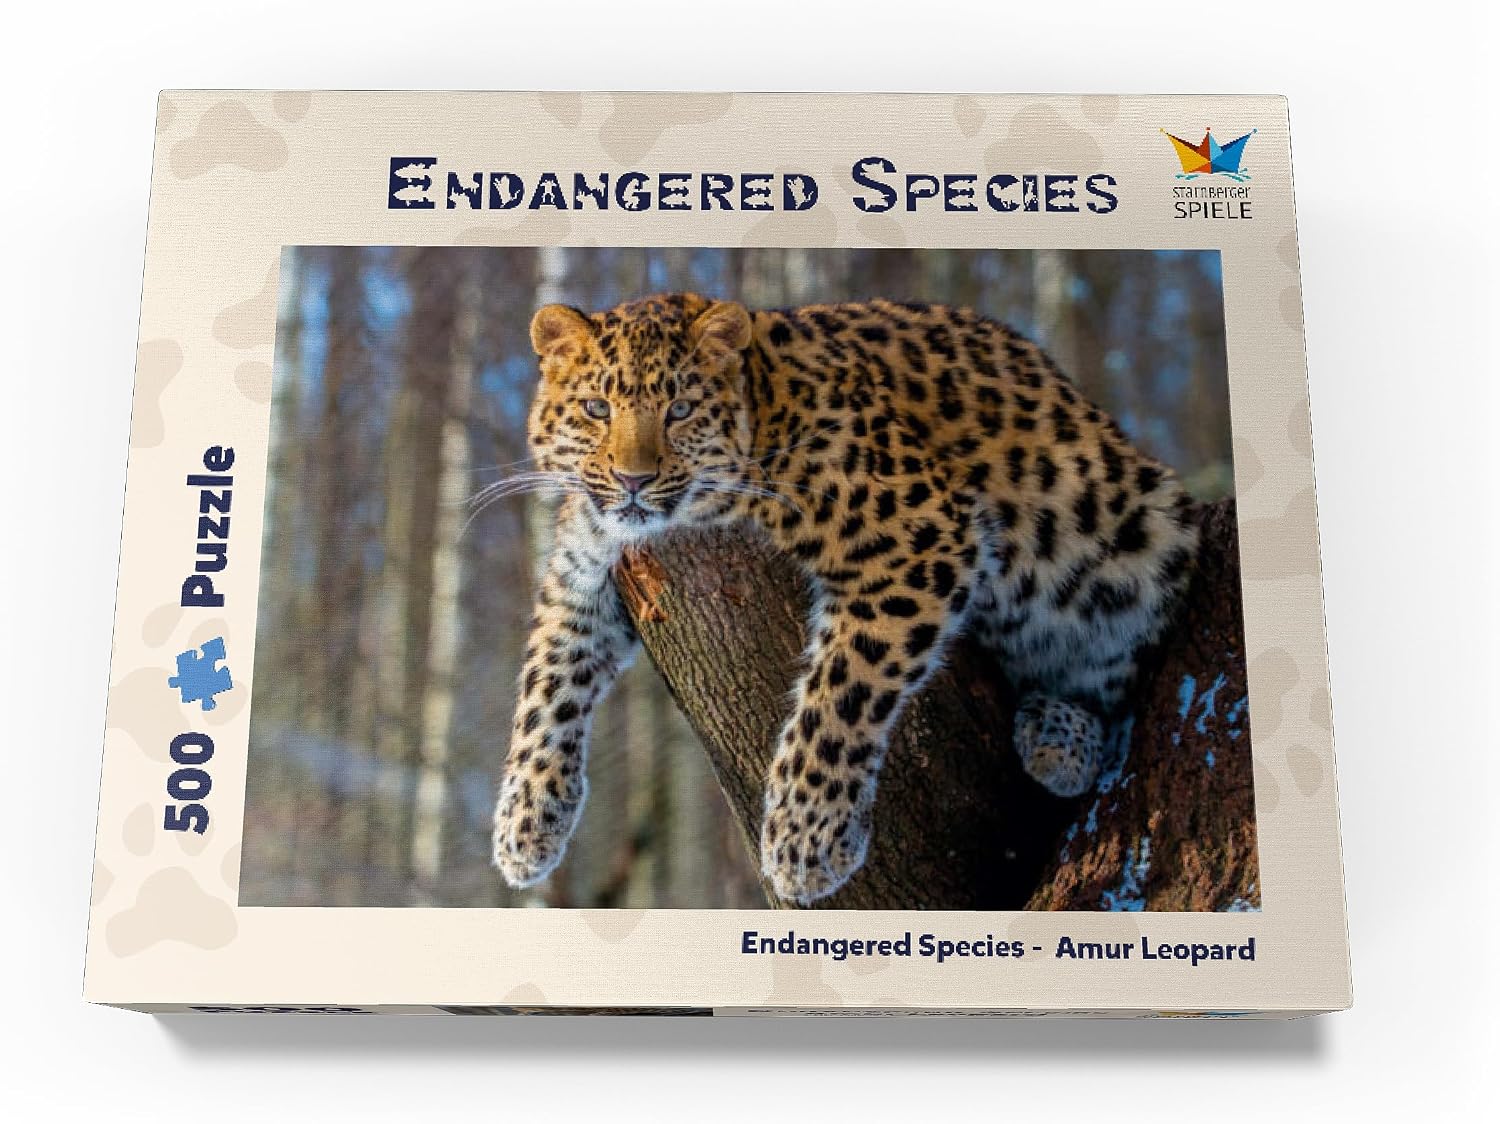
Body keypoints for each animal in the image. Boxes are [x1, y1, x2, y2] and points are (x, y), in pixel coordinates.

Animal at [491, 292, 1199, 904]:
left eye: (681, 411)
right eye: (595, 409)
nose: (633, 480)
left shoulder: (923, 537)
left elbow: (844, 684)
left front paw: (805, 840)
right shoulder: (581, 573)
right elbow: (545, 684)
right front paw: (523, 825)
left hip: (1143, 537)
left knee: (1114, 685)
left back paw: (1060, 739)